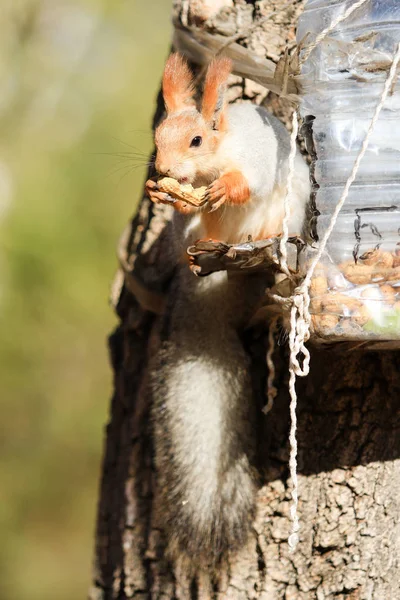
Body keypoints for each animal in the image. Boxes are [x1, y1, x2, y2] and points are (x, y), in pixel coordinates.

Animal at [144, 54, 310, 564]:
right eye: (157, 137)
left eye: (197, 140)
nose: (163, 169)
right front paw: (162, 193)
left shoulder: (256, 158)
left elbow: (246, 182)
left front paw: (228, 187)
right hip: (194, 236)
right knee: (193, 240)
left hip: (286, 211)